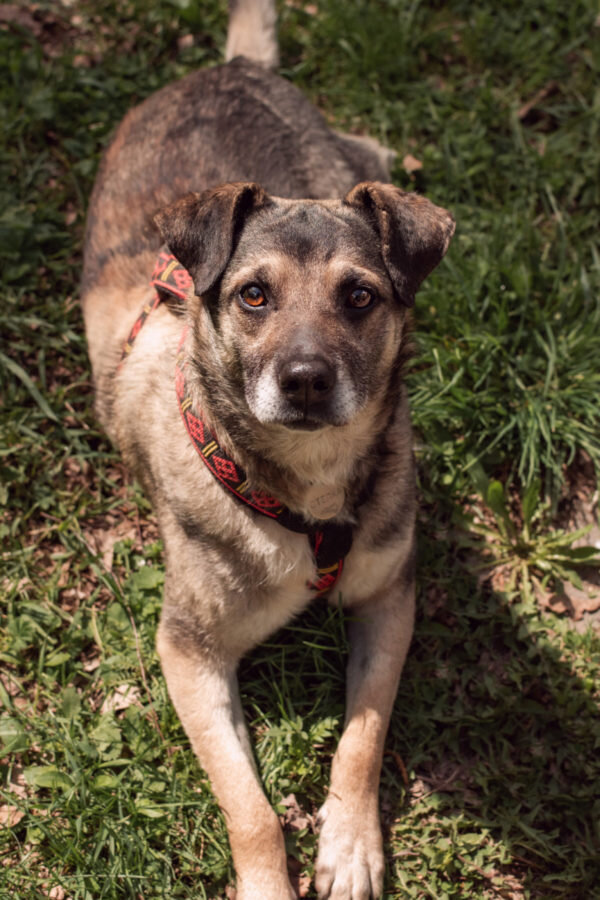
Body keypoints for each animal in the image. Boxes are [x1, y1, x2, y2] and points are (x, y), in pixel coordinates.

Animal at [81, 1, 454, 900]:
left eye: (361, 296)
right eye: (253, 295)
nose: (307, 380)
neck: (304, 485)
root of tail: (229, 67)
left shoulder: (389, 597)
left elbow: (362, 738)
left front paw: (349, 847)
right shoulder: (188, 652)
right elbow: (249, 808)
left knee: (366, 148)